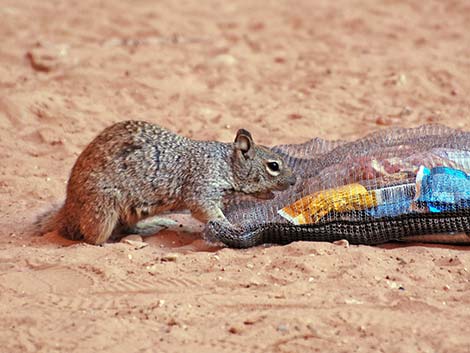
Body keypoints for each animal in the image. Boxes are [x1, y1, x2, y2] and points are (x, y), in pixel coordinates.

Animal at [36, 119, 296, 243]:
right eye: (274, 166)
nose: (294, 180)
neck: (224, 164)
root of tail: (67, 212)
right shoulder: (201, 186)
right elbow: (207, 212)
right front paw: (231, 225)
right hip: (103, 208)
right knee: (91, 238)